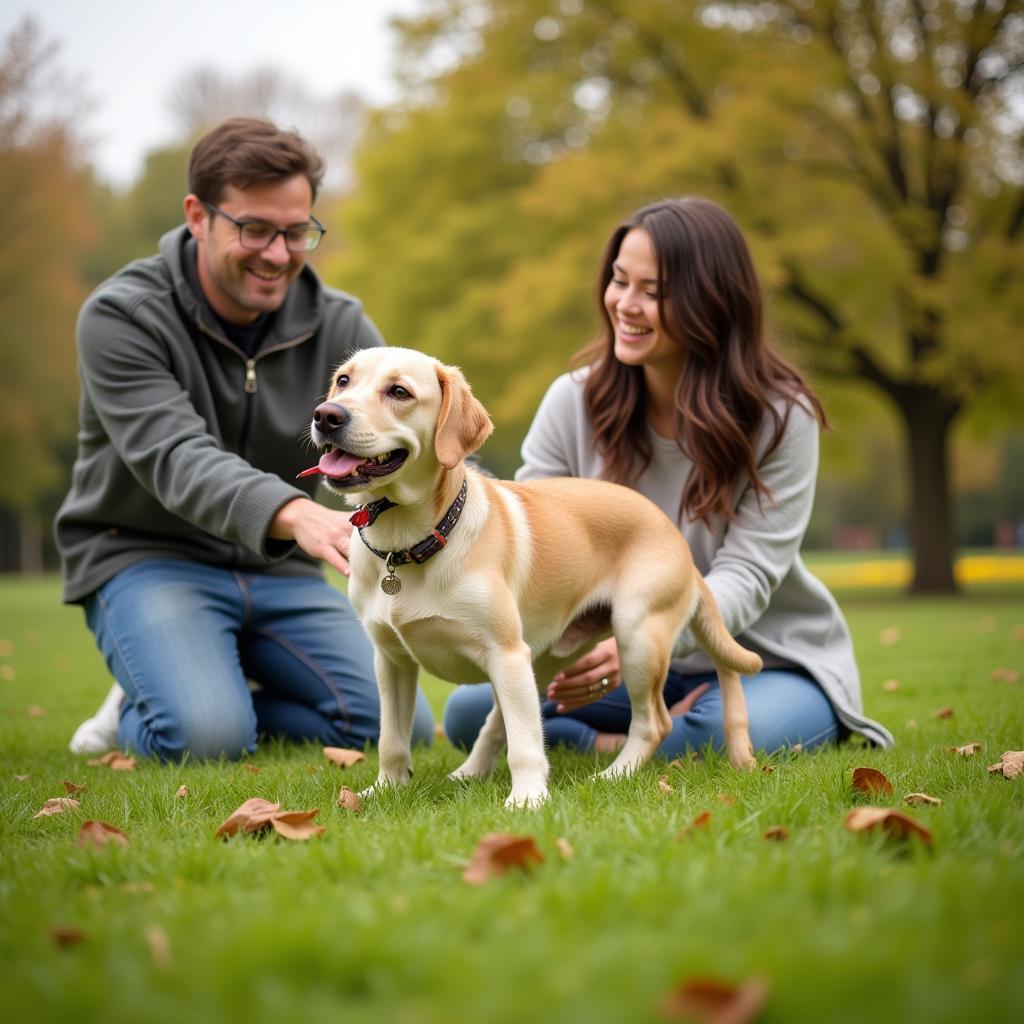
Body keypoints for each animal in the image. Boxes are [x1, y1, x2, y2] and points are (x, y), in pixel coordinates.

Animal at [303, 348, 761, 802]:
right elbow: (392, 740)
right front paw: (384, 790)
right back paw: (469, 773)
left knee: (652, 724)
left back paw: (613, 775)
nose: (326, 415)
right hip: (541, 659)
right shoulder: (392, 659)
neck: (407, 546)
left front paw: (526, 800)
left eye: (399, 391)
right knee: (501, 723)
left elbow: (525, 745)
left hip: (635, 636)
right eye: (343, 381)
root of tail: (675, 535)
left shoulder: (504, 652)